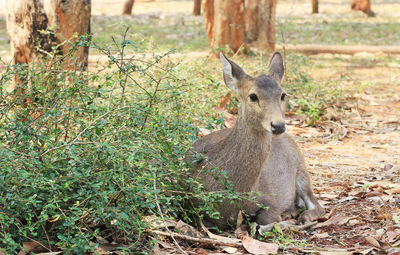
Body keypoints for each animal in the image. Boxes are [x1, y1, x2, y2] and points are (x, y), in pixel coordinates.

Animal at [188, 51, 324, 229]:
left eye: (283, 95)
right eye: (253, 96)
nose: (278, 125)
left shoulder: (269, 198)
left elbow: (268, 218)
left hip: (302, 170)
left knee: (317, 205)